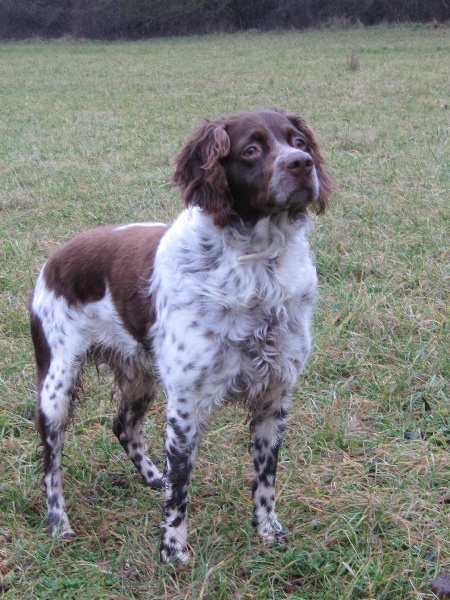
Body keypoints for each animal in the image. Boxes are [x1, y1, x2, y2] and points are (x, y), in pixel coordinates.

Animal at [30, 109, 334, 562]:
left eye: (298, 140)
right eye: (251, 149)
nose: (301, 163)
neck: (256, 266)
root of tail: (54, 259)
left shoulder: (276, 395)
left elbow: (266, 476)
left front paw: (267, 529)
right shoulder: (187, 401)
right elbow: (182, 484)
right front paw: (173, 547)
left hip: (140, 376)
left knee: (122, 425)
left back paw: (151, 476)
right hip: (56, 385)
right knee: (52, 460)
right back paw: (58, 523)